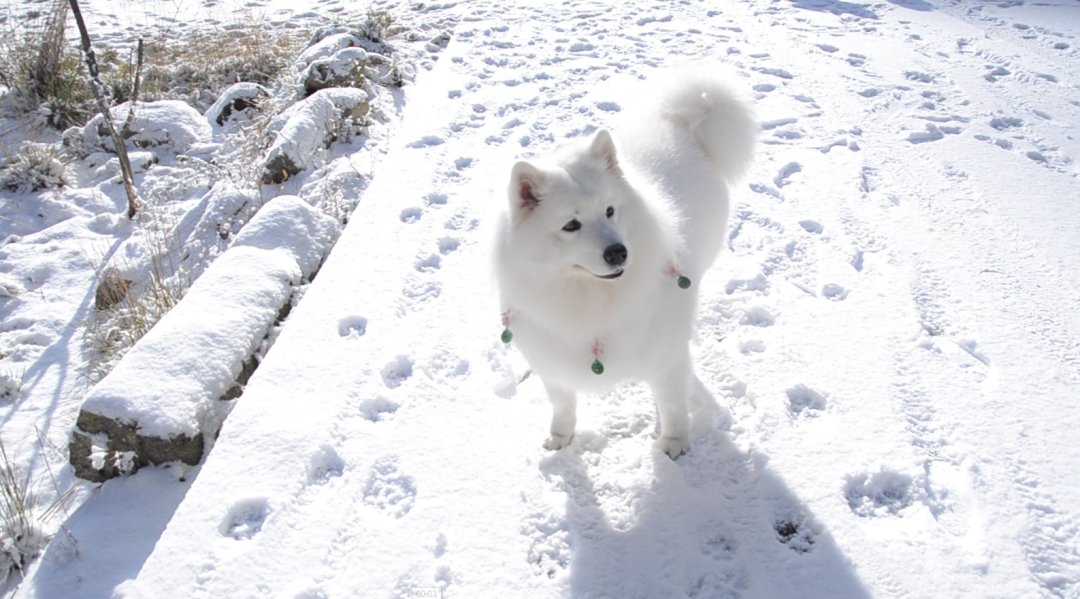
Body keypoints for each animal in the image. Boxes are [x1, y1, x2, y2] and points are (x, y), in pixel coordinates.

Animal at [494, 66, 756, 459]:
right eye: (571, 225)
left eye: (609, 211)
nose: (618, 252)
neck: (589, 297)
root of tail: (680, 120)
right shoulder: (552, 360)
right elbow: (563, 403)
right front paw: (560, 438)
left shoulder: (664, 356)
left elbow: (672, 404)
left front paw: (674, 444)